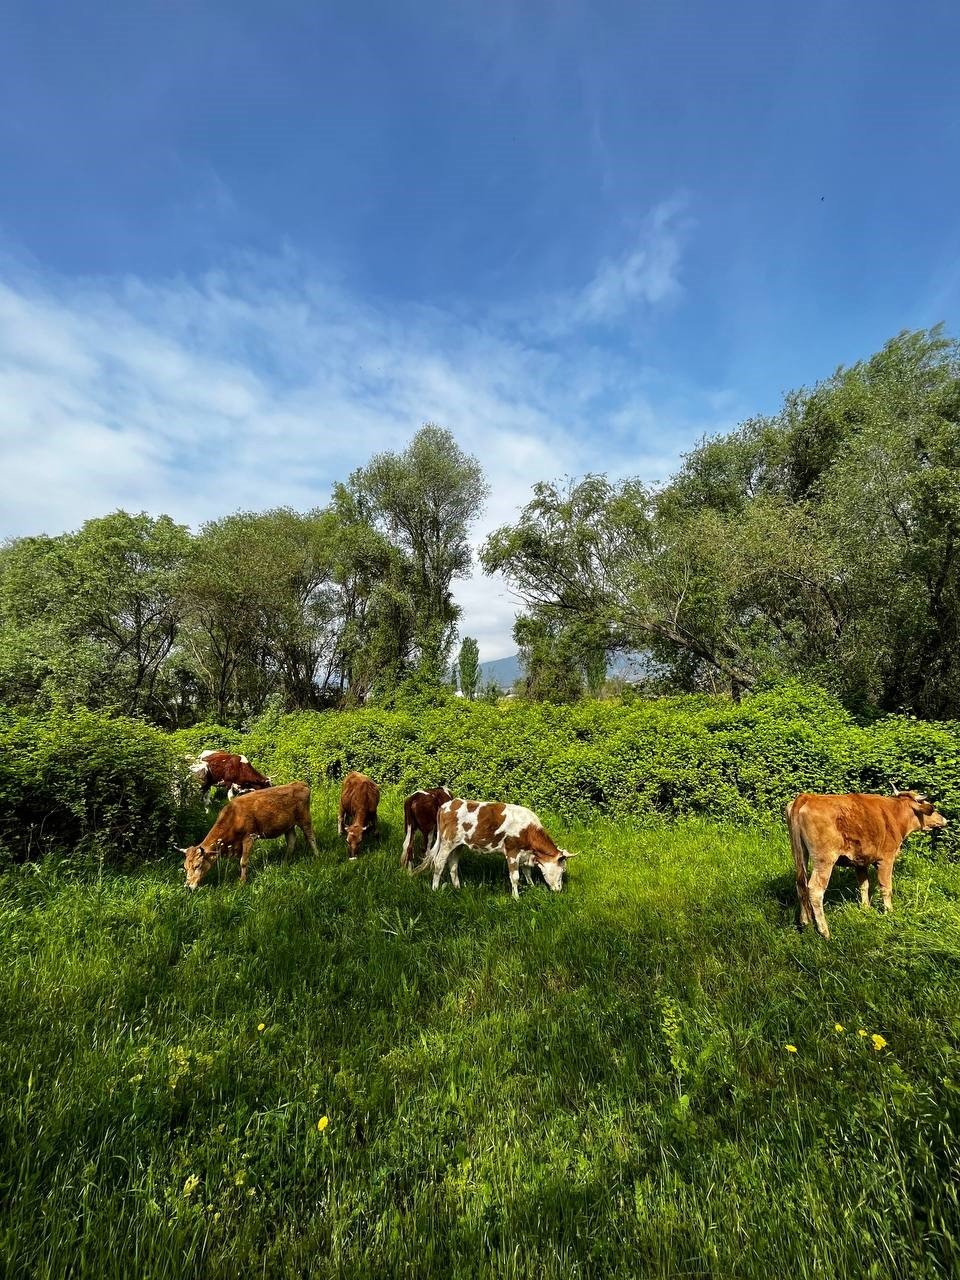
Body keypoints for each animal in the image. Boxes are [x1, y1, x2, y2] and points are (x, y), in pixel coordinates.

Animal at [179, 778, 317, 890]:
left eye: (197, 865)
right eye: (185, 867)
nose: (188, 886)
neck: (234, 816)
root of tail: (300, 784)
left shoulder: (249, 837)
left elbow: (243, 861)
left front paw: (242, 882)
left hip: (305, 819)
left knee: (311, 837)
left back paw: (317, 856)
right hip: (288, 825)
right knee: (291, 841)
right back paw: (285, 862)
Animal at [419, 793, 578, 896]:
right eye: (562, 870)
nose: (559, 890)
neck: (529, 830)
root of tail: (447, 805)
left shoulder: (525, 854)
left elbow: (527, 872)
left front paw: (532, 887)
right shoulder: (512, 851)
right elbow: (515, 877)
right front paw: (516, 898)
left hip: (458, 845)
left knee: (453, 865)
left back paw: (457, 888)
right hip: (447, 842)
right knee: (439, 863)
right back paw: (435, 889)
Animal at [783, 783, 952, 936]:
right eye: (932, 807)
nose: (945, 820)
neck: (894, 815)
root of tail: (807, 797)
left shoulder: (860, 861)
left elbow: (864, 885)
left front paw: (865, 908)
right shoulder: (886, 859)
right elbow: (886, 888)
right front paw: (889, 912)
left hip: (799, 853)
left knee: (800, 884)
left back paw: (805, 922)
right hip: (824, 860)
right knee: (815, 889)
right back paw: (825, 932)